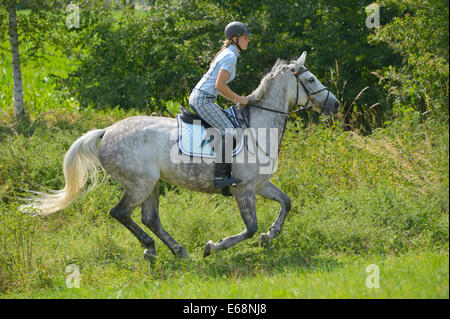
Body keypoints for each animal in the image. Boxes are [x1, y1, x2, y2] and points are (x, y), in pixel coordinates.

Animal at [21, 52, 338, 260]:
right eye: (311, 79)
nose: (334, 105)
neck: (259, 126)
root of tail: (107, 131)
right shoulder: (243, 189)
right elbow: (249, 228)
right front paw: (213, 246)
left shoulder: (260, 185)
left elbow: (286, 203)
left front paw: (269, 236)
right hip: (140, 184)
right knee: (121, 213)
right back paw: (152, 248)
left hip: (151, 184)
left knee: (150, 218)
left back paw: (177, 250)